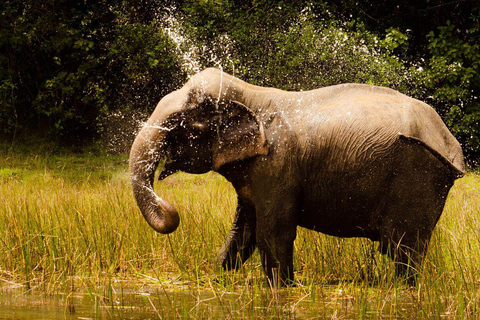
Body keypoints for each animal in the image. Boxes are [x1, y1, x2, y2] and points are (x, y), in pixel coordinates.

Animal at [128, 68, 464, 284]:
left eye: (186, 125)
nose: (169, 208)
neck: (250, 94)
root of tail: (450, 142)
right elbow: (243, 233)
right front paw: (216, 278)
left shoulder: (277, 164)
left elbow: (272, 233)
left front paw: (282, 288)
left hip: (418, 175)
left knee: (404, 249)